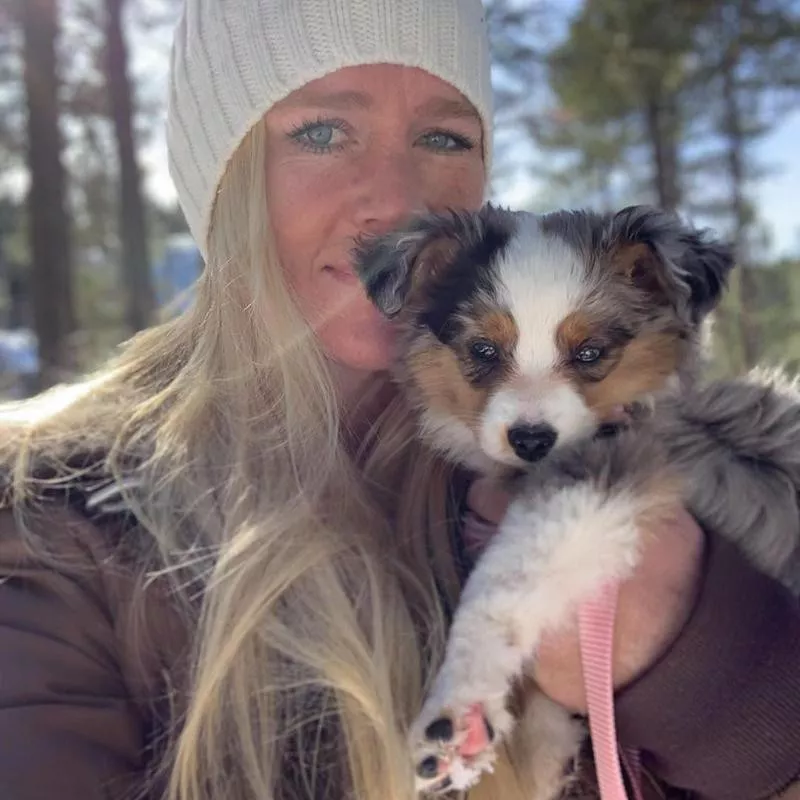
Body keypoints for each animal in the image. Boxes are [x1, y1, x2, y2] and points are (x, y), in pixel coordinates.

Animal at [354, 205, 800, 792]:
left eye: (590, 352)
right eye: (483, 350)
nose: (531, 439)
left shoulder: (605, 472)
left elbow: (503, 581)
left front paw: (455, 710)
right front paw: (515, 749)